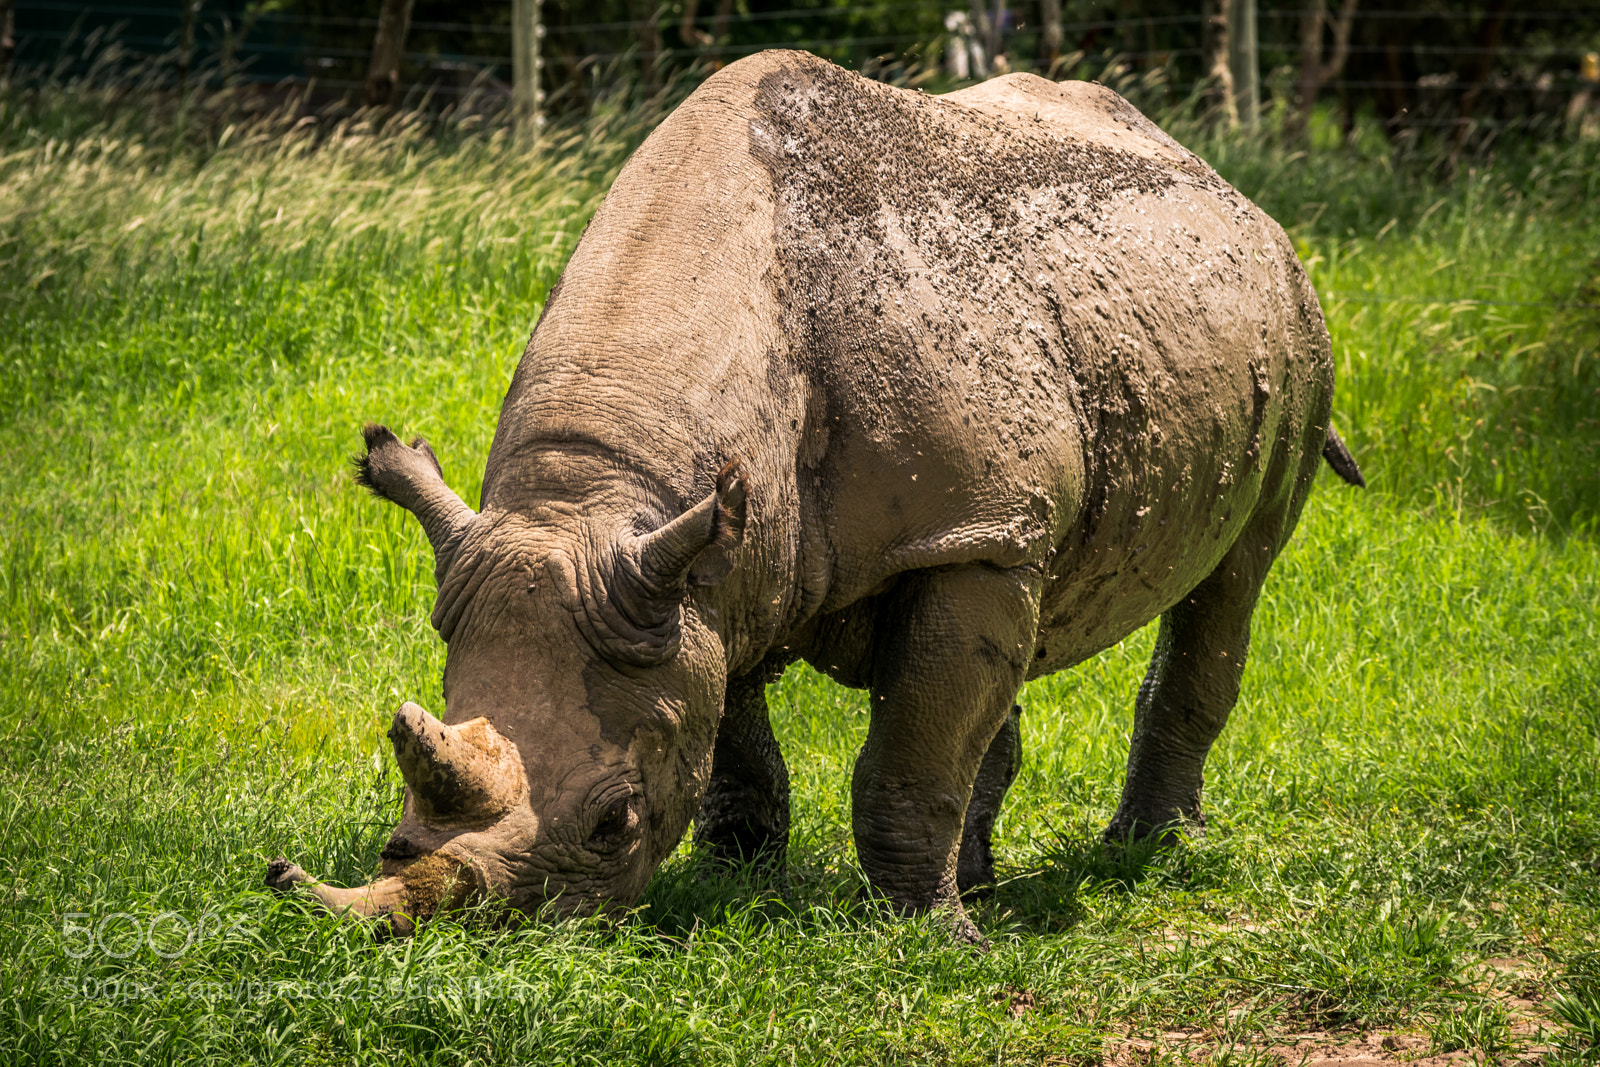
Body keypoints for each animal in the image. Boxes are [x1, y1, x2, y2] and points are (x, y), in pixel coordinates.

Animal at [266, 49, 1363, 941]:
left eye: (617, 820)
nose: (502, 937)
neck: (603, 492)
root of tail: (1223, 184)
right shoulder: (703, 563)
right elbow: (734, 730)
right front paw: (735, 885)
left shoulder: (955, 529)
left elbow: (910, 750)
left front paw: (934, 939)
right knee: (1017, 630)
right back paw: (987, 876)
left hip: (1297, 338)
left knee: (1233, 576)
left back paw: (1142, 855)